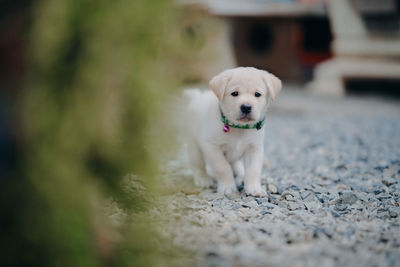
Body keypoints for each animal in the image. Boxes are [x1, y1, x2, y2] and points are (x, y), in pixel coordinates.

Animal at [182, 67, 280, 197]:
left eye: (257, 94)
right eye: (234, 93)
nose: (246, 107)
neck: (239, 128)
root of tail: (197, 96)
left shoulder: (254, 148)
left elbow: (253, 170)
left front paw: (254, 188)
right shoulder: (212, 147)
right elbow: (223, 168)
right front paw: (227, 187)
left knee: (236, 165)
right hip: (194, 147)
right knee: (197, 165)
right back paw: (203, 179)